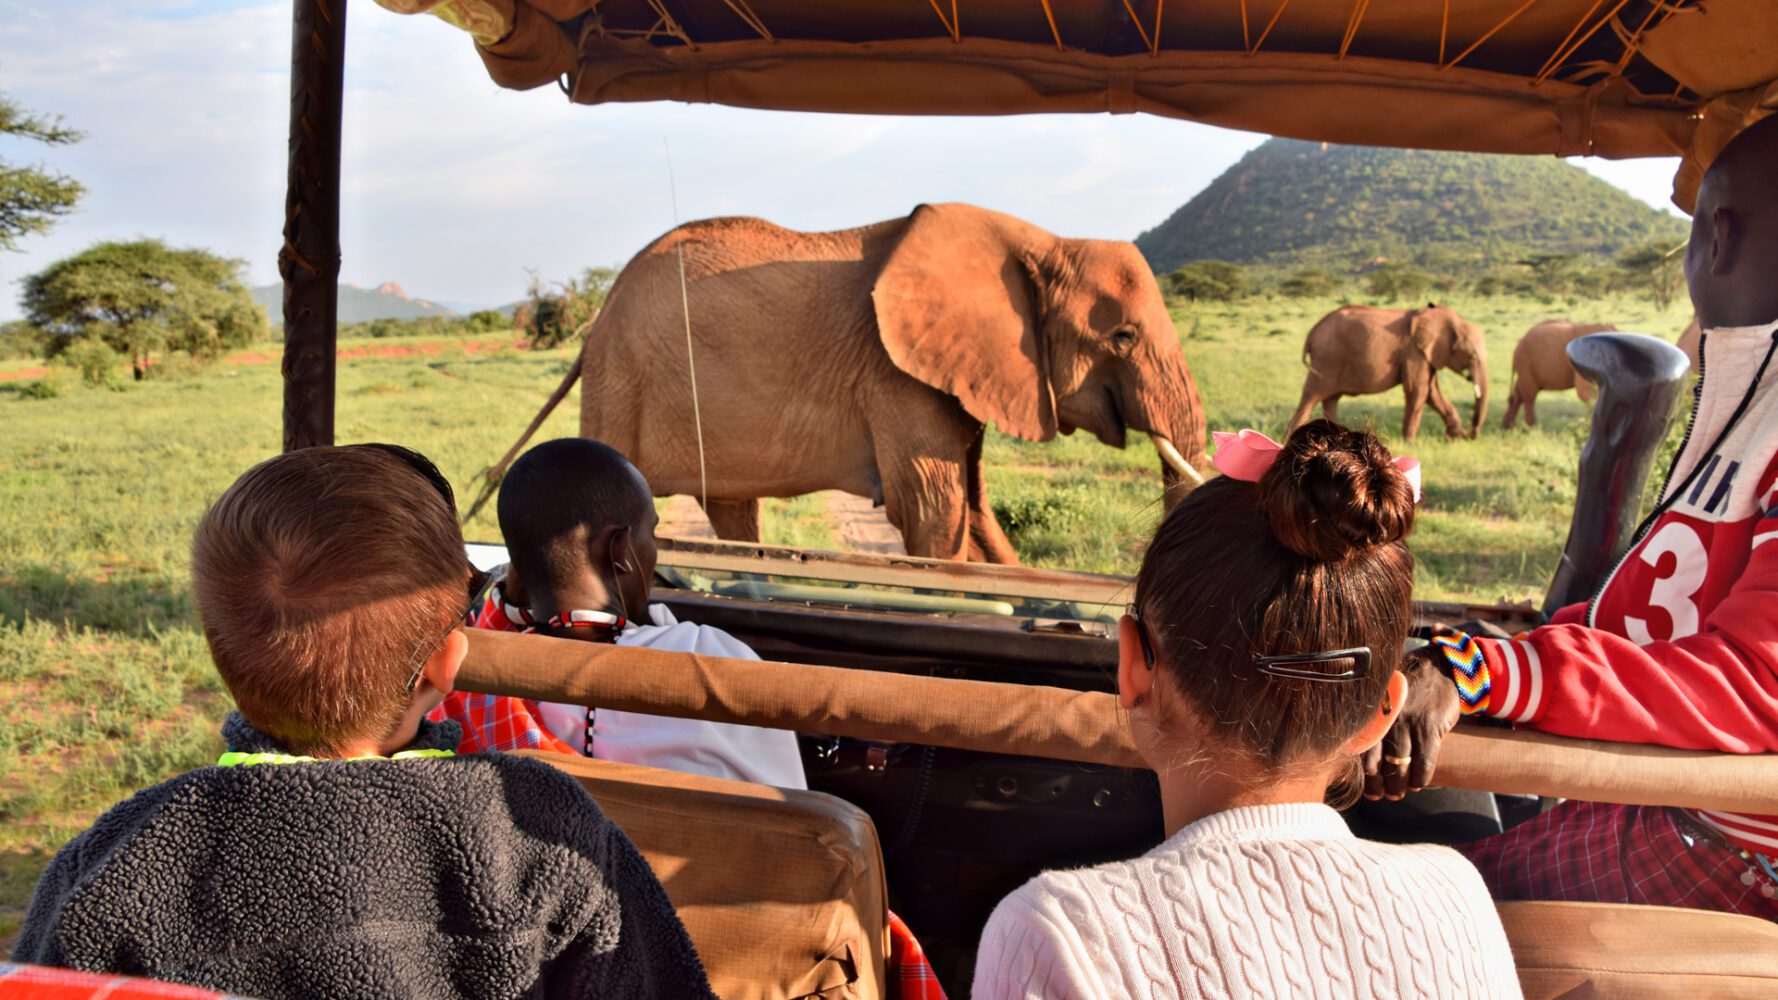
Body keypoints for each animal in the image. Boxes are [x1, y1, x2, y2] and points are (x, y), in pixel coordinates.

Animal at [488, 203, 1211, 563]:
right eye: (1123, 337)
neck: (1041, 240)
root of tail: (597, 319)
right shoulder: (896, 375)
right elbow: (933, 510)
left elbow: (972, 510)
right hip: (622, 378)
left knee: (731, 508)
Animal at [1287, 304, 1488, 440]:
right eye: (1472, 356)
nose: (1471, 435)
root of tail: (1312, 332)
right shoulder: (1414, 353)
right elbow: (1418, 390)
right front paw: (1410, 443)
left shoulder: (1426, 356)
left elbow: (1432, 392)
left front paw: (1454, 438)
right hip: (1327, 358)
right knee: (1311, 396)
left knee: (1330, 399)